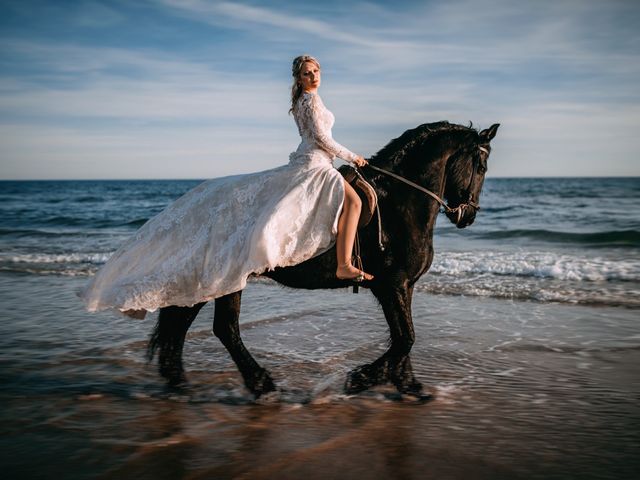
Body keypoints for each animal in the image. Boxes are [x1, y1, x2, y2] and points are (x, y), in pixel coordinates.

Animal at [149, 122, 500, 400]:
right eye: (481, 168)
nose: (468, 216)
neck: (397, 204)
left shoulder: (404, 286)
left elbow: (405, 338)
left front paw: (408, 384)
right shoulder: (391, 285)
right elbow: (405, 339)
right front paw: (361, 379)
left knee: (187, 324)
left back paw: (179, 381)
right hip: (227, 279)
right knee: (224, 328)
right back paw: (260, 384)